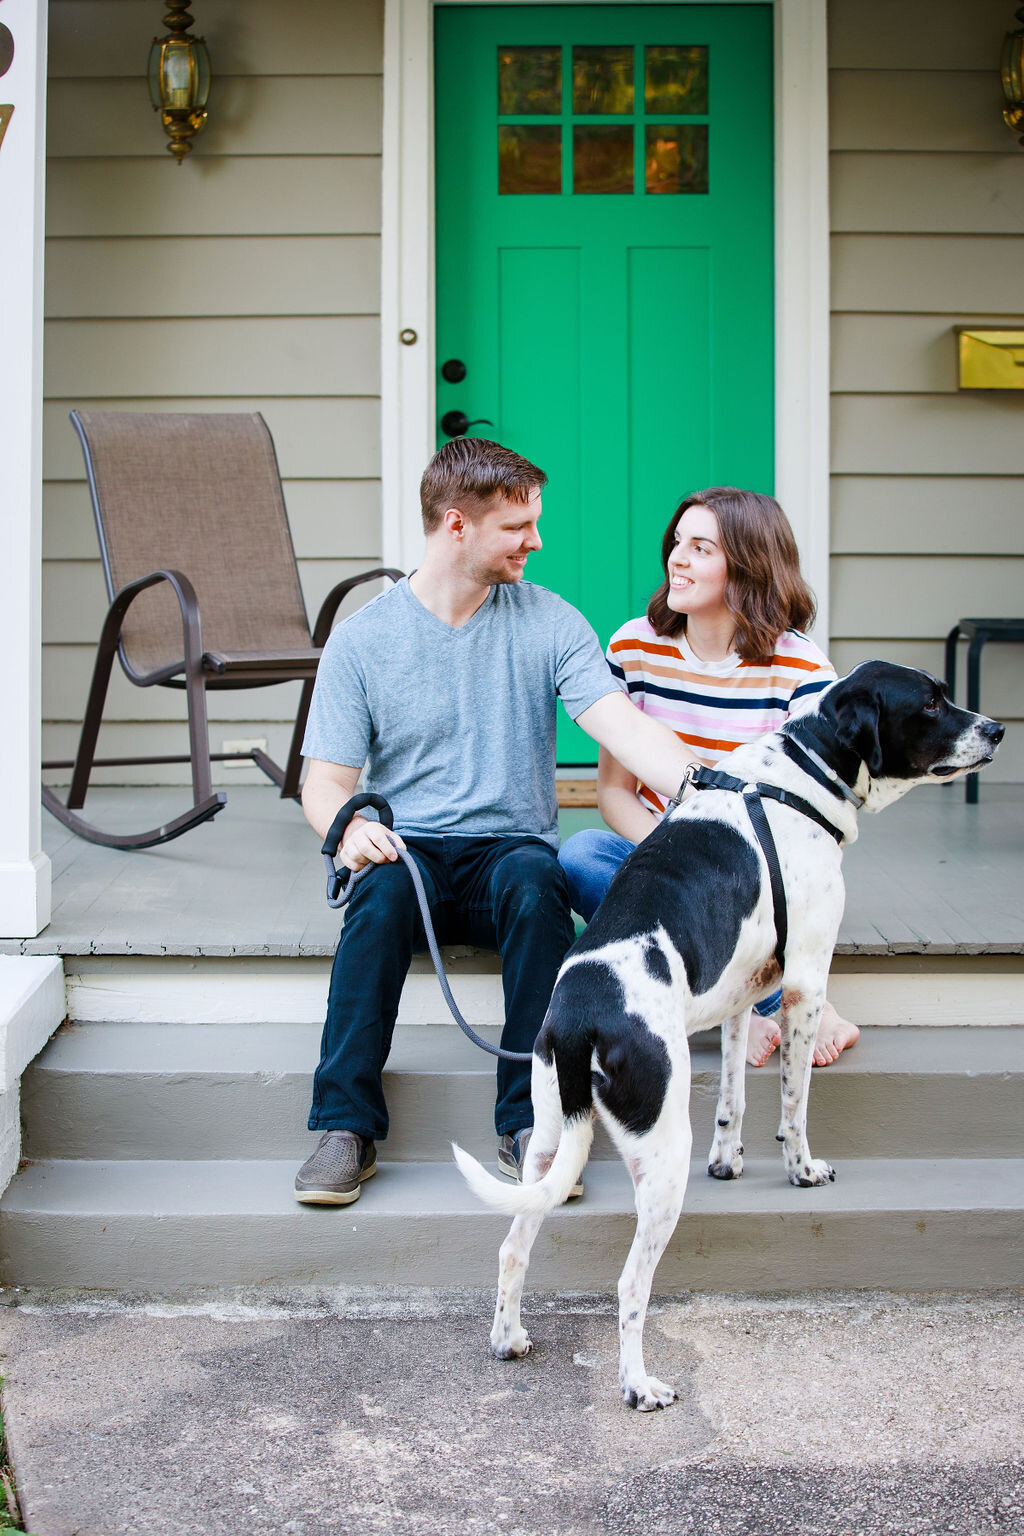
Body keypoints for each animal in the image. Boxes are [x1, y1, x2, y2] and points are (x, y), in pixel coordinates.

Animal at [451, 666, 1007, 1406]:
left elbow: (735, 1095)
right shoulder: (805, 981)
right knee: (630, 1284)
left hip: (547, 1143)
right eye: (931, 702)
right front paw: (801, 1169)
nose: (999, 728)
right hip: (659, 1159)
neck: (802, 770)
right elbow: (795, 1103)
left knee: (514, 1245)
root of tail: (578, 1011)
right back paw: (638, 1385)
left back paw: (508, 1338)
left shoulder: (744, 995)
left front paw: (730, 1159)